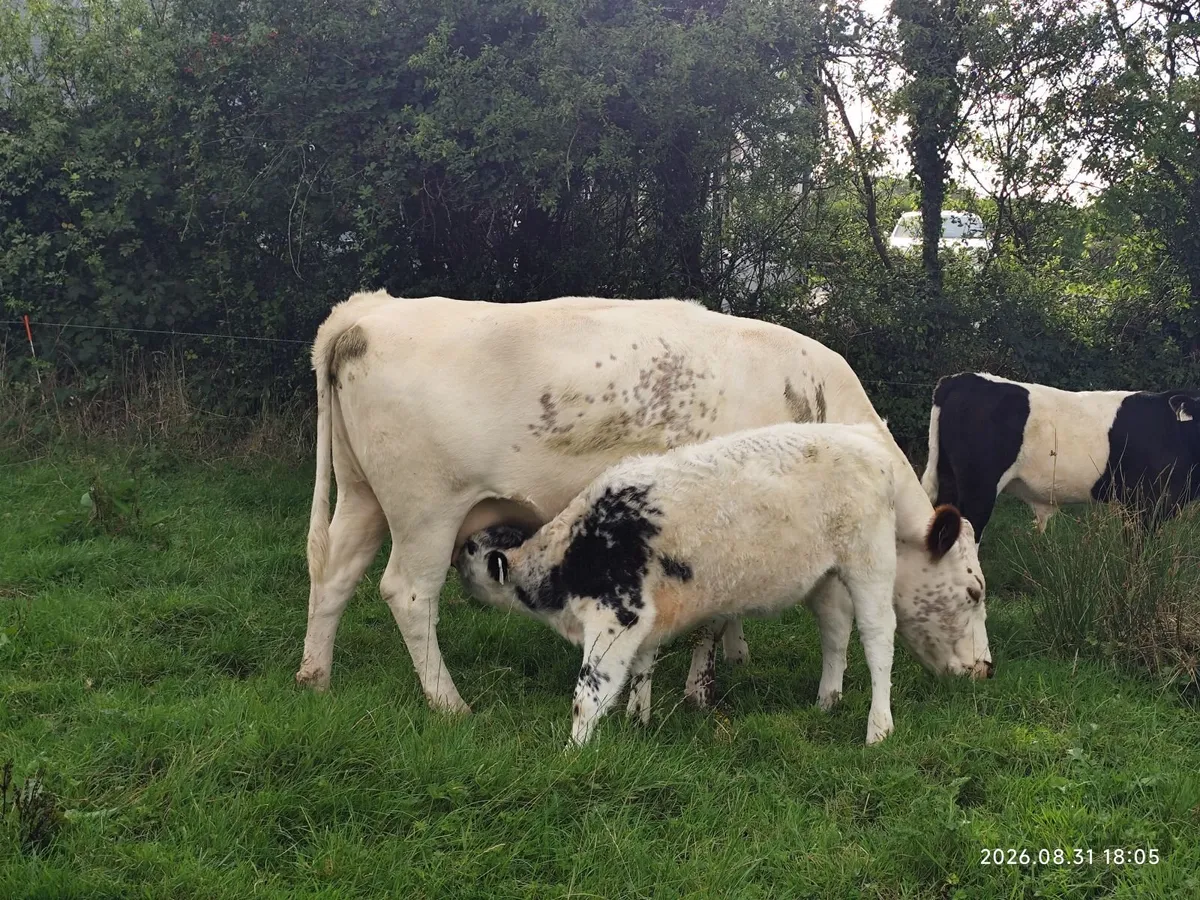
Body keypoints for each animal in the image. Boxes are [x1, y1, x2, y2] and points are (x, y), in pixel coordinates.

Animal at [455, 422, 960, 747]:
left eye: (471, 550)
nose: (455, 560)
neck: (573, 552)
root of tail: (868, 442)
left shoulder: (616, 615)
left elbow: (589, 694)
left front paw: (573, 752)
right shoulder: (649, 616)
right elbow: (643, 669)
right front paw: (638, 721)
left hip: (870, 563)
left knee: (877, 639)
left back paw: (879, 728)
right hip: (826, 577)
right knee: (835, 631)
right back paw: (826, 701)